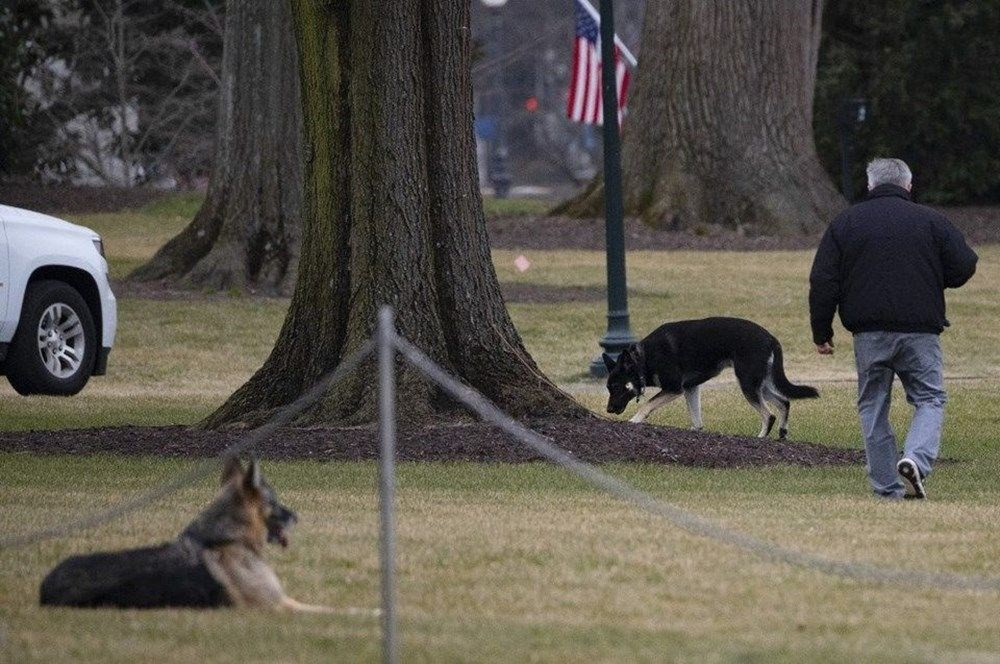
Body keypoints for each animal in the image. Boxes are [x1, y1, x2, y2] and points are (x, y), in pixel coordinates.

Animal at [600, 318, 820, 438]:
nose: (608, 410)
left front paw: (634, 420)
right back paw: (782, 434)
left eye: (616, 386)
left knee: (769, 415)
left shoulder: (674, 388)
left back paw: (760, 438)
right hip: (760, 384)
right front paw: (695, 431)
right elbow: (696, 420)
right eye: (609, 388)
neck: (643, 358)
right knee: (784, 402)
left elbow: (647, 405)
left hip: (748, 384)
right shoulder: (690, 388)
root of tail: (771, 339)